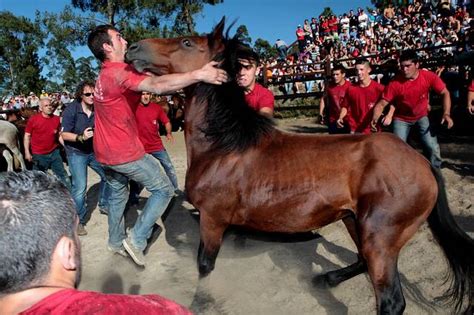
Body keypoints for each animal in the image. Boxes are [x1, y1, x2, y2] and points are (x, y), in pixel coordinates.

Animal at [124, 18, 472, 314]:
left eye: (186, 42)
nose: (133, 48)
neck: (224, 147)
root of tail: (422, 161)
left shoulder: (212, 218)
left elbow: (204, 265)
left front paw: (200, 302)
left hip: (381, 237)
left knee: (391, 301)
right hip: (354, 221)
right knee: (361, 260)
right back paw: (325, 279)